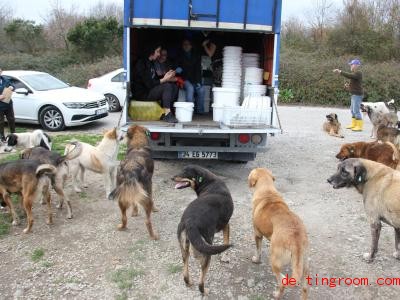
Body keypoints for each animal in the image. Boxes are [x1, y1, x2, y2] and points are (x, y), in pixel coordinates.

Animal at [173, 165, 234, 296]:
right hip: (206, 248)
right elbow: (226, 241)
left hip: (185, 248)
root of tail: (190, 221)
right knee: (201, 282)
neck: (209, 182)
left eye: (185, 172)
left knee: (185, 268)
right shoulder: (226, 225)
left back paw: (188, 282)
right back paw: (205, 291)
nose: (172, 177)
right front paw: (225, 258)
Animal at [247, 169, 310, 300]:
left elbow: (258, 250)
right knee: (305, 288)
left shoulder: (257, 234)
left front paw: (256, 259)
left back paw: (277, 294)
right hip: (305, 266)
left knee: (282, 282)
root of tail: (296, 239)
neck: (267, 191)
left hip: (274, 261)